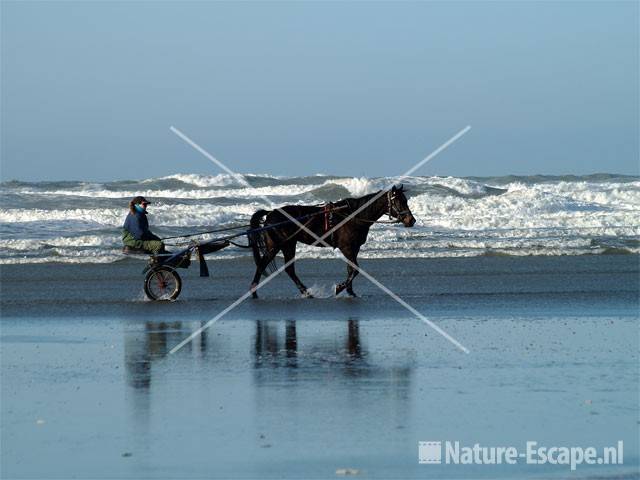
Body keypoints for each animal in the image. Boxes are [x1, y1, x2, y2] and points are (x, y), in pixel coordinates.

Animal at [248, 186, 418, 298]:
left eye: (406, 200)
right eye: (399, 201)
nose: (411, 220)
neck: (353, 216)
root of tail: (271, 213)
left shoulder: (353, 248)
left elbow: (351, 269)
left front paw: (350, 291)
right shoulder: (346, 248)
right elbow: (355, 269)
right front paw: (340, 287)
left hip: (288, 245)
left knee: (289, 269)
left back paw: (305, 291)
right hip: (278, 246)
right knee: (263, 265)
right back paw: (254, 291)